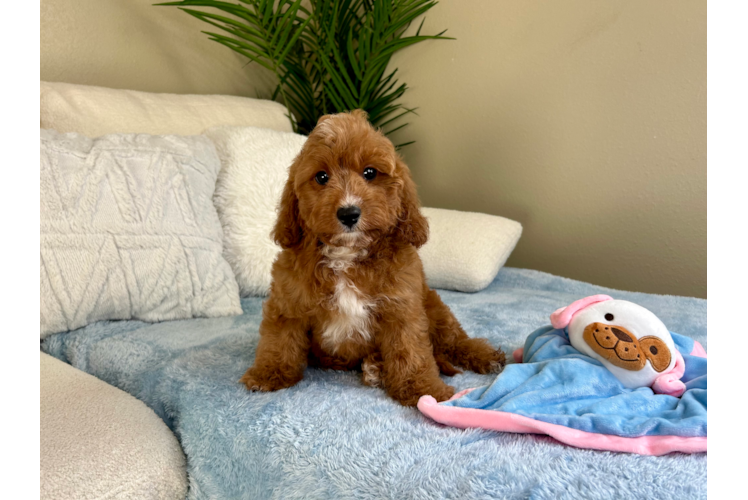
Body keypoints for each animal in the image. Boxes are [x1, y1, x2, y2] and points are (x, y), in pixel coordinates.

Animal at [243, 110, 506, 406]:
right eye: (321, 177)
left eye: (370, 173)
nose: (348, 213)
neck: (348, 254)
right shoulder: (288, 302)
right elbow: (280, 339)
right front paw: (270, 373)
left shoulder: (402, 308)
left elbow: (410, 350)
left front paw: (423, 388)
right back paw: (375, 367)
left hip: (434, 306)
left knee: (454, 340)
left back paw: (484, 356)